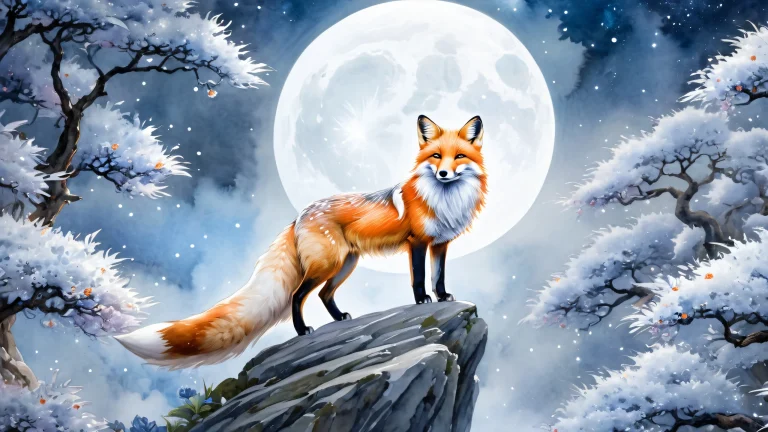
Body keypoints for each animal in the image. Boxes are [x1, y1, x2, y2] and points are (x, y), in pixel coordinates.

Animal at [115, 115, 488, 368]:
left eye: (459, 157)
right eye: (436, 156)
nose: (443, 174)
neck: (443, 200)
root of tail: (299, 216)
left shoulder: (440, 244)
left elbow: (439, 276)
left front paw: (442, 296)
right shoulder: (417, 243)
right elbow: (419, 278)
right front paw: (423, 301)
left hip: (344, 264)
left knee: (323, 295)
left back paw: (338, 319)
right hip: (328, 264)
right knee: (297, 295)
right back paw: (302, 330)